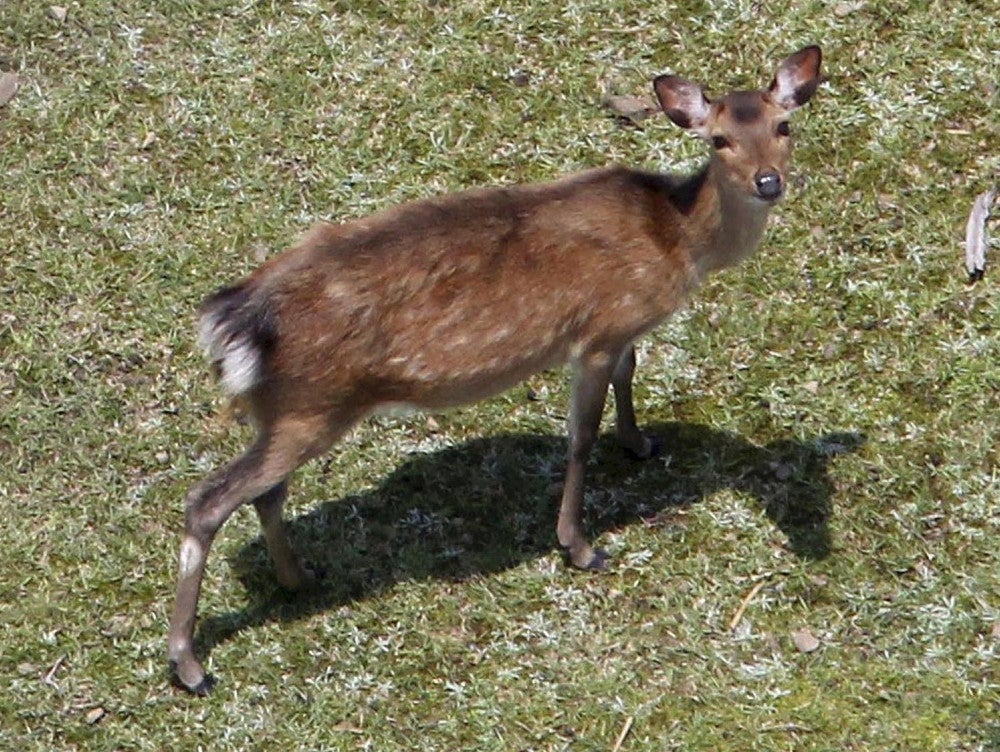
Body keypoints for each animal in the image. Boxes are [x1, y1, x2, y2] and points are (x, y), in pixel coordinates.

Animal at [168, 45, 822, 694]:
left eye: (783, 126)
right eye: (719, 139)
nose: (769, 182)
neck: (677, 240)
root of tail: (233, 321)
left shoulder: (621, 331)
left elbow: (630, 371)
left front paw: (640, 442)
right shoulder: (596, 331)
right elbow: (580, 436)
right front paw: (580, 546)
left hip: (279, 411)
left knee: (266, 492)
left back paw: (298, 578)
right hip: (313, 404)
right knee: (208, 499)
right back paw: (190, 664)